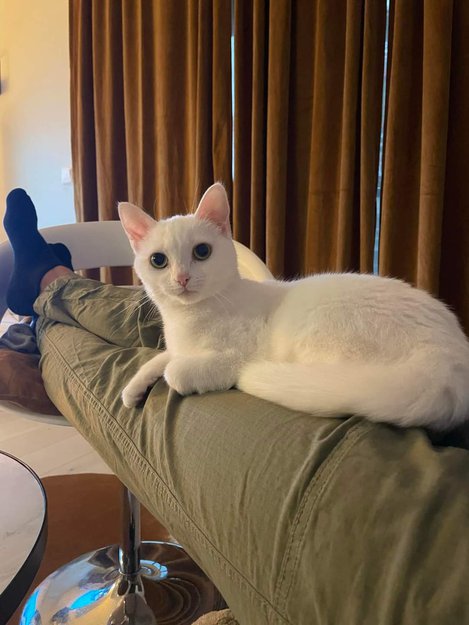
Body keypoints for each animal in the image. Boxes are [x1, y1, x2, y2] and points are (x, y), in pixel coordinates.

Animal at [118, 183, 469, 430]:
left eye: (202, 251)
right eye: (158, 261)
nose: (182, 278)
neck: (187, 319)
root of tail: (449, 364)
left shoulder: (234, 356)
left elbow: (176, 369)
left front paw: (172, 373)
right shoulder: (179, 346)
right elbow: (160, 358)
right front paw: (132, 390)